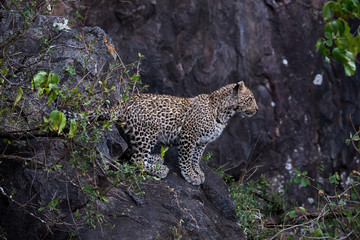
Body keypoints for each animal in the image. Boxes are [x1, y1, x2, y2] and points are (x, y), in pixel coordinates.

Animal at [108, 81, 258, 185]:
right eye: (250, 98)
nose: (257, 109)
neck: (224, 114)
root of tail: (123, 102)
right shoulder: (189, 135)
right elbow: (186, 157)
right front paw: (190, 176)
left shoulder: (203, 141)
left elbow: (196, 157)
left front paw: (198, 171)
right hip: (148, 132)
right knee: (135, 159)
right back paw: (160, 169)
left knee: (131, 152)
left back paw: (156, 159)